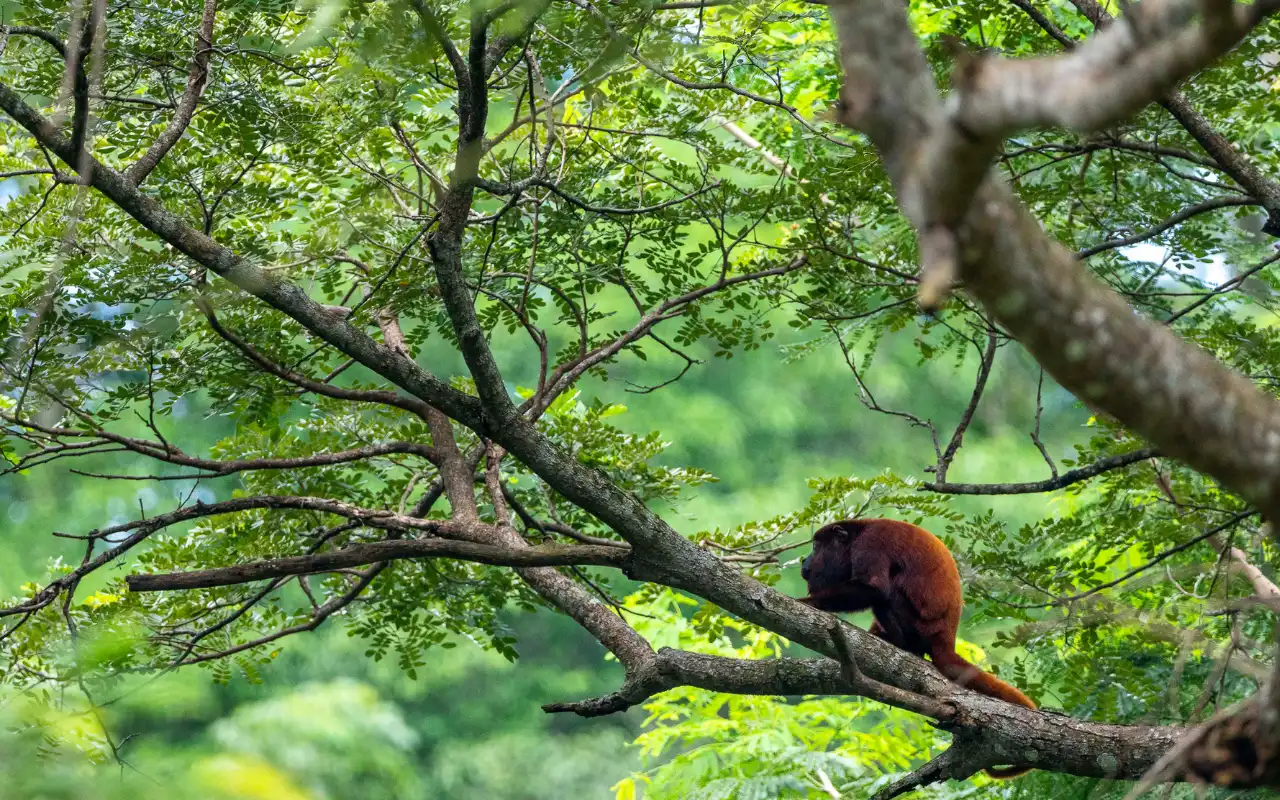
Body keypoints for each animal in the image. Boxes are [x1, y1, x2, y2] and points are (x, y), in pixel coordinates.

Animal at [798, 518, 1035, 779]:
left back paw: (900, 643)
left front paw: (812, 602)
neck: (855, 537)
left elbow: (874, 588)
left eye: (816, 547)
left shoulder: (870, 545)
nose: (804, 561)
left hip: (918, 627)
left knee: (888, 591)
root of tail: (945, 639)